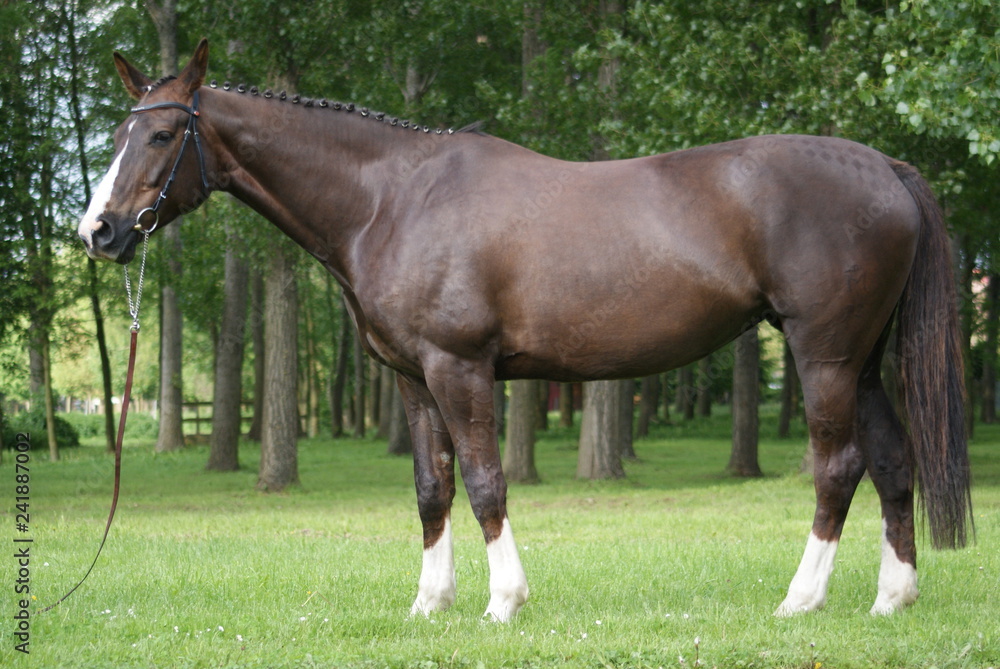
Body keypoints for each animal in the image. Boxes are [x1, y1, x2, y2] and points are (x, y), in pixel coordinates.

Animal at [78, 39, 972, 621]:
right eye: (117, 133)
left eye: (162, 134)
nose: (99, 231)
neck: (390, 198)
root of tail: (885, 168)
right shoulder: (411, 377)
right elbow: (431, 485)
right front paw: (428, 601)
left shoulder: (459, 367)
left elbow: (483, 481)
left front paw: (503, 600)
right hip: (861, 362)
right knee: (892, 461)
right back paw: (893, 597)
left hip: (823, 356)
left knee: (839, 467)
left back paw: (801, 597)